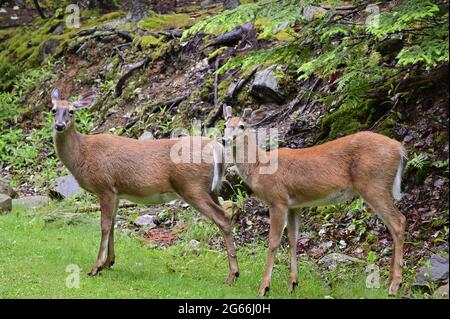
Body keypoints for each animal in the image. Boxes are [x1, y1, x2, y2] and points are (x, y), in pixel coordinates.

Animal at [49, 89, 241, 284]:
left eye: (71, 111)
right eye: (53, 110)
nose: (59, 125)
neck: (82, 154)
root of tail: (217, 148)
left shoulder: (104, 186)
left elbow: (104, 225)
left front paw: (96, 267)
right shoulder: (116, 192)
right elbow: (112, 224)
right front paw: (109, 262)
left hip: (192, 186)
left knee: (222, 217)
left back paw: (233, 274)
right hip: (212, 189)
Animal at [222, 107, 408, 298]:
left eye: (242, 126)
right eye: (225, 125)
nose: (225, 140)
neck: (259, 167)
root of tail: (400, 149)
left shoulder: (277, 200)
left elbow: (273, 241)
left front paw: (264, 287)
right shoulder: (293, 205)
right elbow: (293, 239)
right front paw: (293, 284)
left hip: (373, 184)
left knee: (398, 221)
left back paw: (395, 285)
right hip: (378, 186)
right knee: (393, 225)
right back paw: (389, 282)